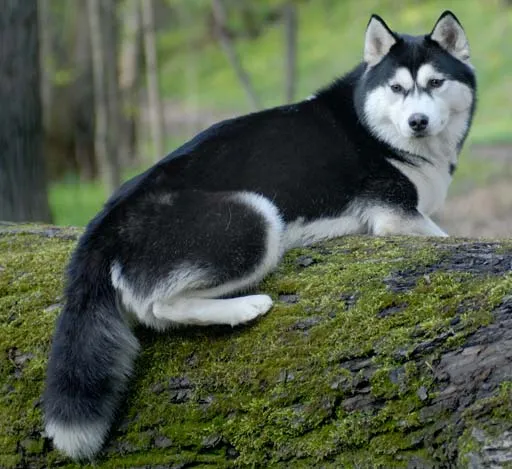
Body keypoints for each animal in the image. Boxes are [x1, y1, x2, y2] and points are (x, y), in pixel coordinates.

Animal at [43, 10, 476, 458]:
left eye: (435, 83)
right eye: (397, 88)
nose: (417, 122)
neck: (373, 128)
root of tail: (107, 219)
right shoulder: (396, 217)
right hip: (256, 218)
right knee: (158, 308)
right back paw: (243, 307)